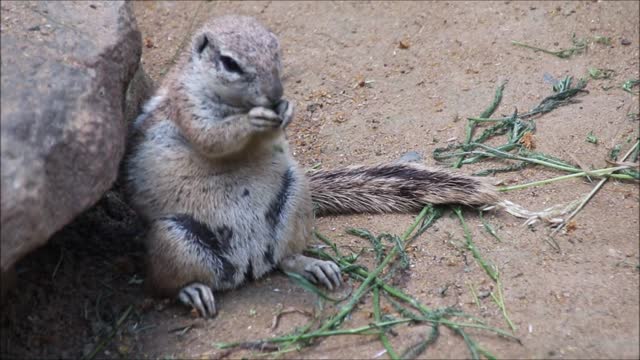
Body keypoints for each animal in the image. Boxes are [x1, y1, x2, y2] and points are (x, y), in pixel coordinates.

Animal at [122, 15, 498, 316]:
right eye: (229, 63)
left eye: (276, 50)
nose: (275, 94)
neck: (237, 103)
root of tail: (249, 263)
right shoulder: (187, 106)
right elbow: (212, 137)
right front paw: (252, 120)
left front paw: (287, 110)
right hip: (174, 239)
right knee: (167, 284)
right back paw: (194, 291)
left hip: (294, 199)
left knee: (284, 259)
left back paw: (314, 266)